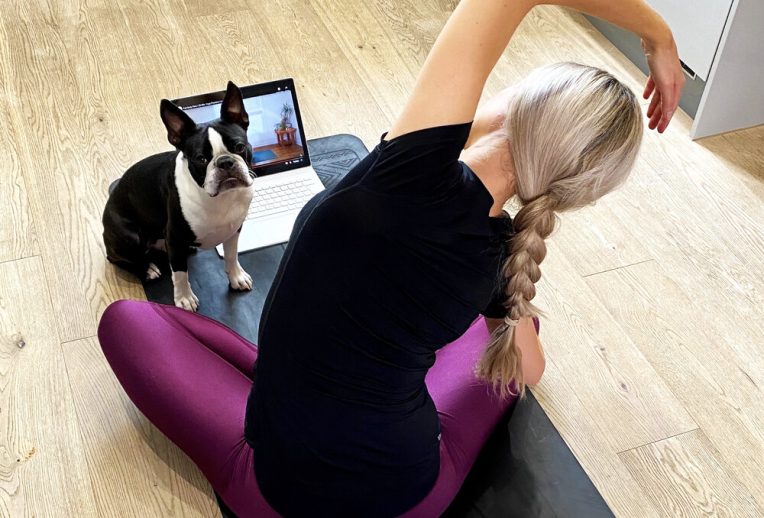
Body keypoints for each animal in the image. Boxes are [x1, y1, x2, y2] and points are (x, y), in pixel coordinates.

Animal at [103, 80, 256, 308]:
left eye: (239, 146)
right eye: (201, 158)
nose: (225, 162)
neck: (219, 198)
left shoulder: (234, 229)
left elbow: (231, 254)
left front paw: (236, 277)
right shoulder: (175, 239)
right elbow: (180, 273)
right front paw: (184, 298)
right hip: (130, 237)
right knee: (119, 258)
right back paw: (147, 269)